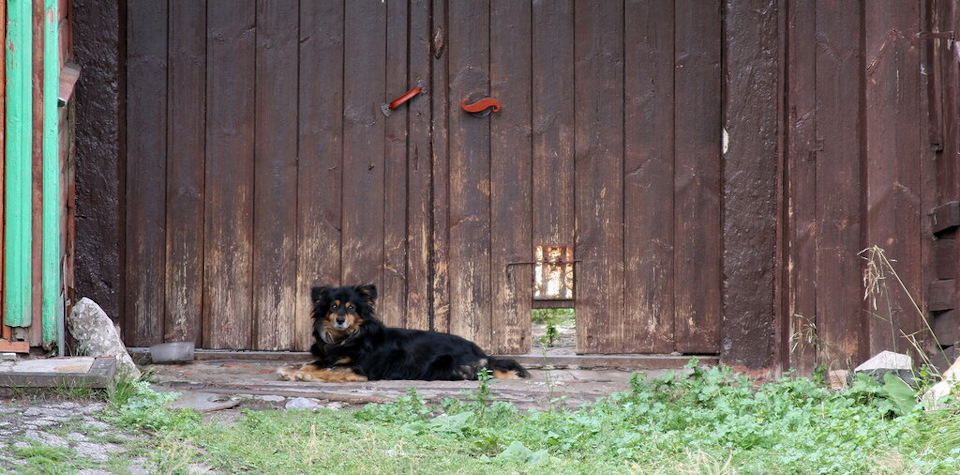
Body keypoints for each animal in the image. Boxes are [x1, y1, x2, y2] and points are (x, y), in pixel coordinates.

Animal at [278, 286, 532, 384]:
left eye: (351, 308)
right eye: (333, 306)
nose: (340, 320)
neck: (348, 337)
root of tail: (478, 350)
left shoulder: (363, 371)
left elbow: (331, 372)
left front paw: (302, 375)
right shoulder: (329, 358)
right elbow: (316, 364)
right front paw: (291, 371)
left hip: (449, 366)